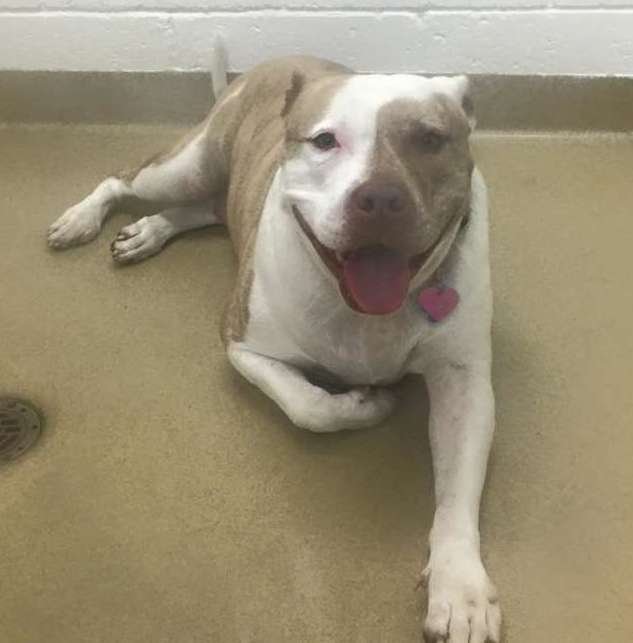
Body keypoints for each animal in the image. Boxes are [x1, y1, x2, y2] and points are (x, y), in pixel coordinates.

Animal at [48, 55, 498, 643]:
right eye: (325, 140)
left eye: (430, 138)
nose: (379, 198)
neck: (364, 313)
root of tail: (285, 60)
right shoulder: (243, 345)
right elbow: (308, 406)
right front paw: (364, 404)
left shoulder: (465, 383)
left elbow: (457, 494)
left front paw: (459, 585)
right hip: (186, 165)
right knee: (124, 178)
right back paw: (83, 218)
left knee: (208, 208)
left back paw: (151, 230)